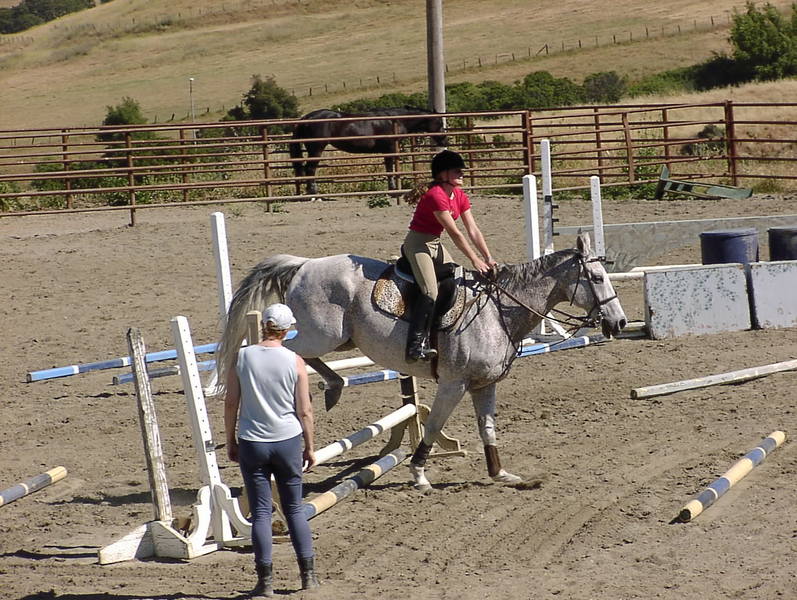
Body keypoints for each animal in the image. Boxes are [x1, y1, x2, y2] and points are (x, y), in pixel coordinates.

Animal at [216, 233, 627, 492]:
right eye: (595, 277)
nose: (620, 323)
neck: (498, 311)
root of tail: (303, 264)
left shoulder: (484, 384)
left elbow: (488, 429)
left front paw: (500, 474)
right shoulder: (454, 384)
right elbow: (433, 426)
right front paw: (419, 474)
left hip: (341, 338)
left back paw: (334, 385)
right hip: (323, 334)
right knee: (282, 352)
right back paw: (326, 386)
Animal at [289, 107, 446, 196]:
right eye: (439, 122)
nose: (444, 141)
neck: (394, 120)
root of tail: (306, 118)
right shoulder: (390, 149)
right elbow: (390, 169)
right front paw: (393, 190)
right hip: (316, 149)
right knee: (310, 169)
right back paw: (314, 193)